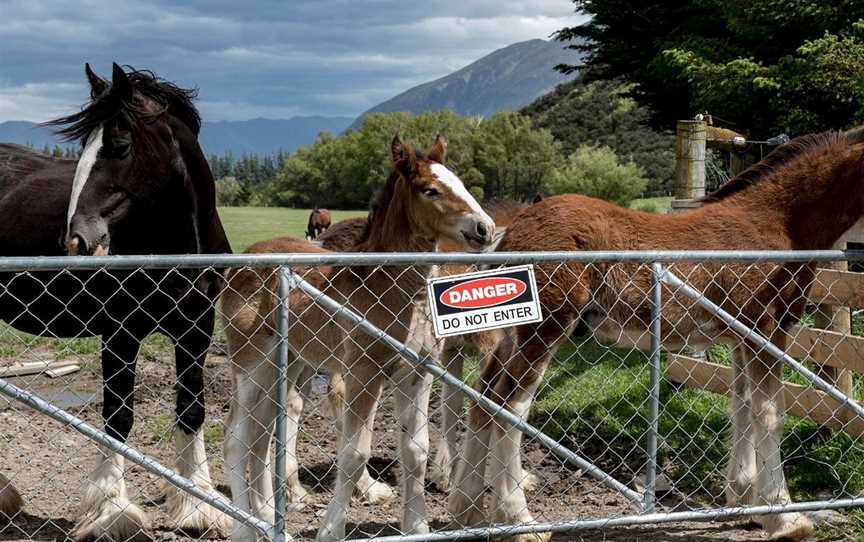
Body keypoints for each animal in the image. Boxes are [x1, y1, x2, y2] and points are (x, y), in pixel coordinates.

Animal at [0, 62, 233, 540]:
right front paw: (111, 510)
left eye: (120, 145)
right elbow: (117, 415)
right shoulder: (120, 333)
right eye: (82, 148)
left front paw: (197, 506)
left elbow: (192, 410)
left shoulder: (197, 330)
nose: (75, 240)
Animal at [219, 135, 496, 542]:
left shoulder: (418, 372)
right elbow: (354, 453)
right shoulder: (364, 373)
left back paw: (271, 520)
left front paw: (417, 526)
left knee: (261, 439)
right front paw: (331, 530)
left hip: (283, 365)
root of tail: (245, 260)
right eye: (430, 190)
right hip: (251, 363)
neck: (391, 289)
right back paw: (243, 529)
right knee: (237, 440)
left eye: (459, 181)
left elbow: (416, 450)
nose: (484, 228)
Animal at [448, 129, 864, 542]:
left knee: (483, 399)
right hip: (546, 329)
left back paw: (466, 510)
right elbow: (769, 414)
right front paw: (783, 517)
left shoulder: (740, 337)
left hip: (510, 333)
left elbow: (742, 405)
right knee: (510, 406)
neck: (776, 222)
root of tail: (510, 231)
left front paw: (745, 499)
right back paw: (519, 520)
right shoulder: (767, 327)